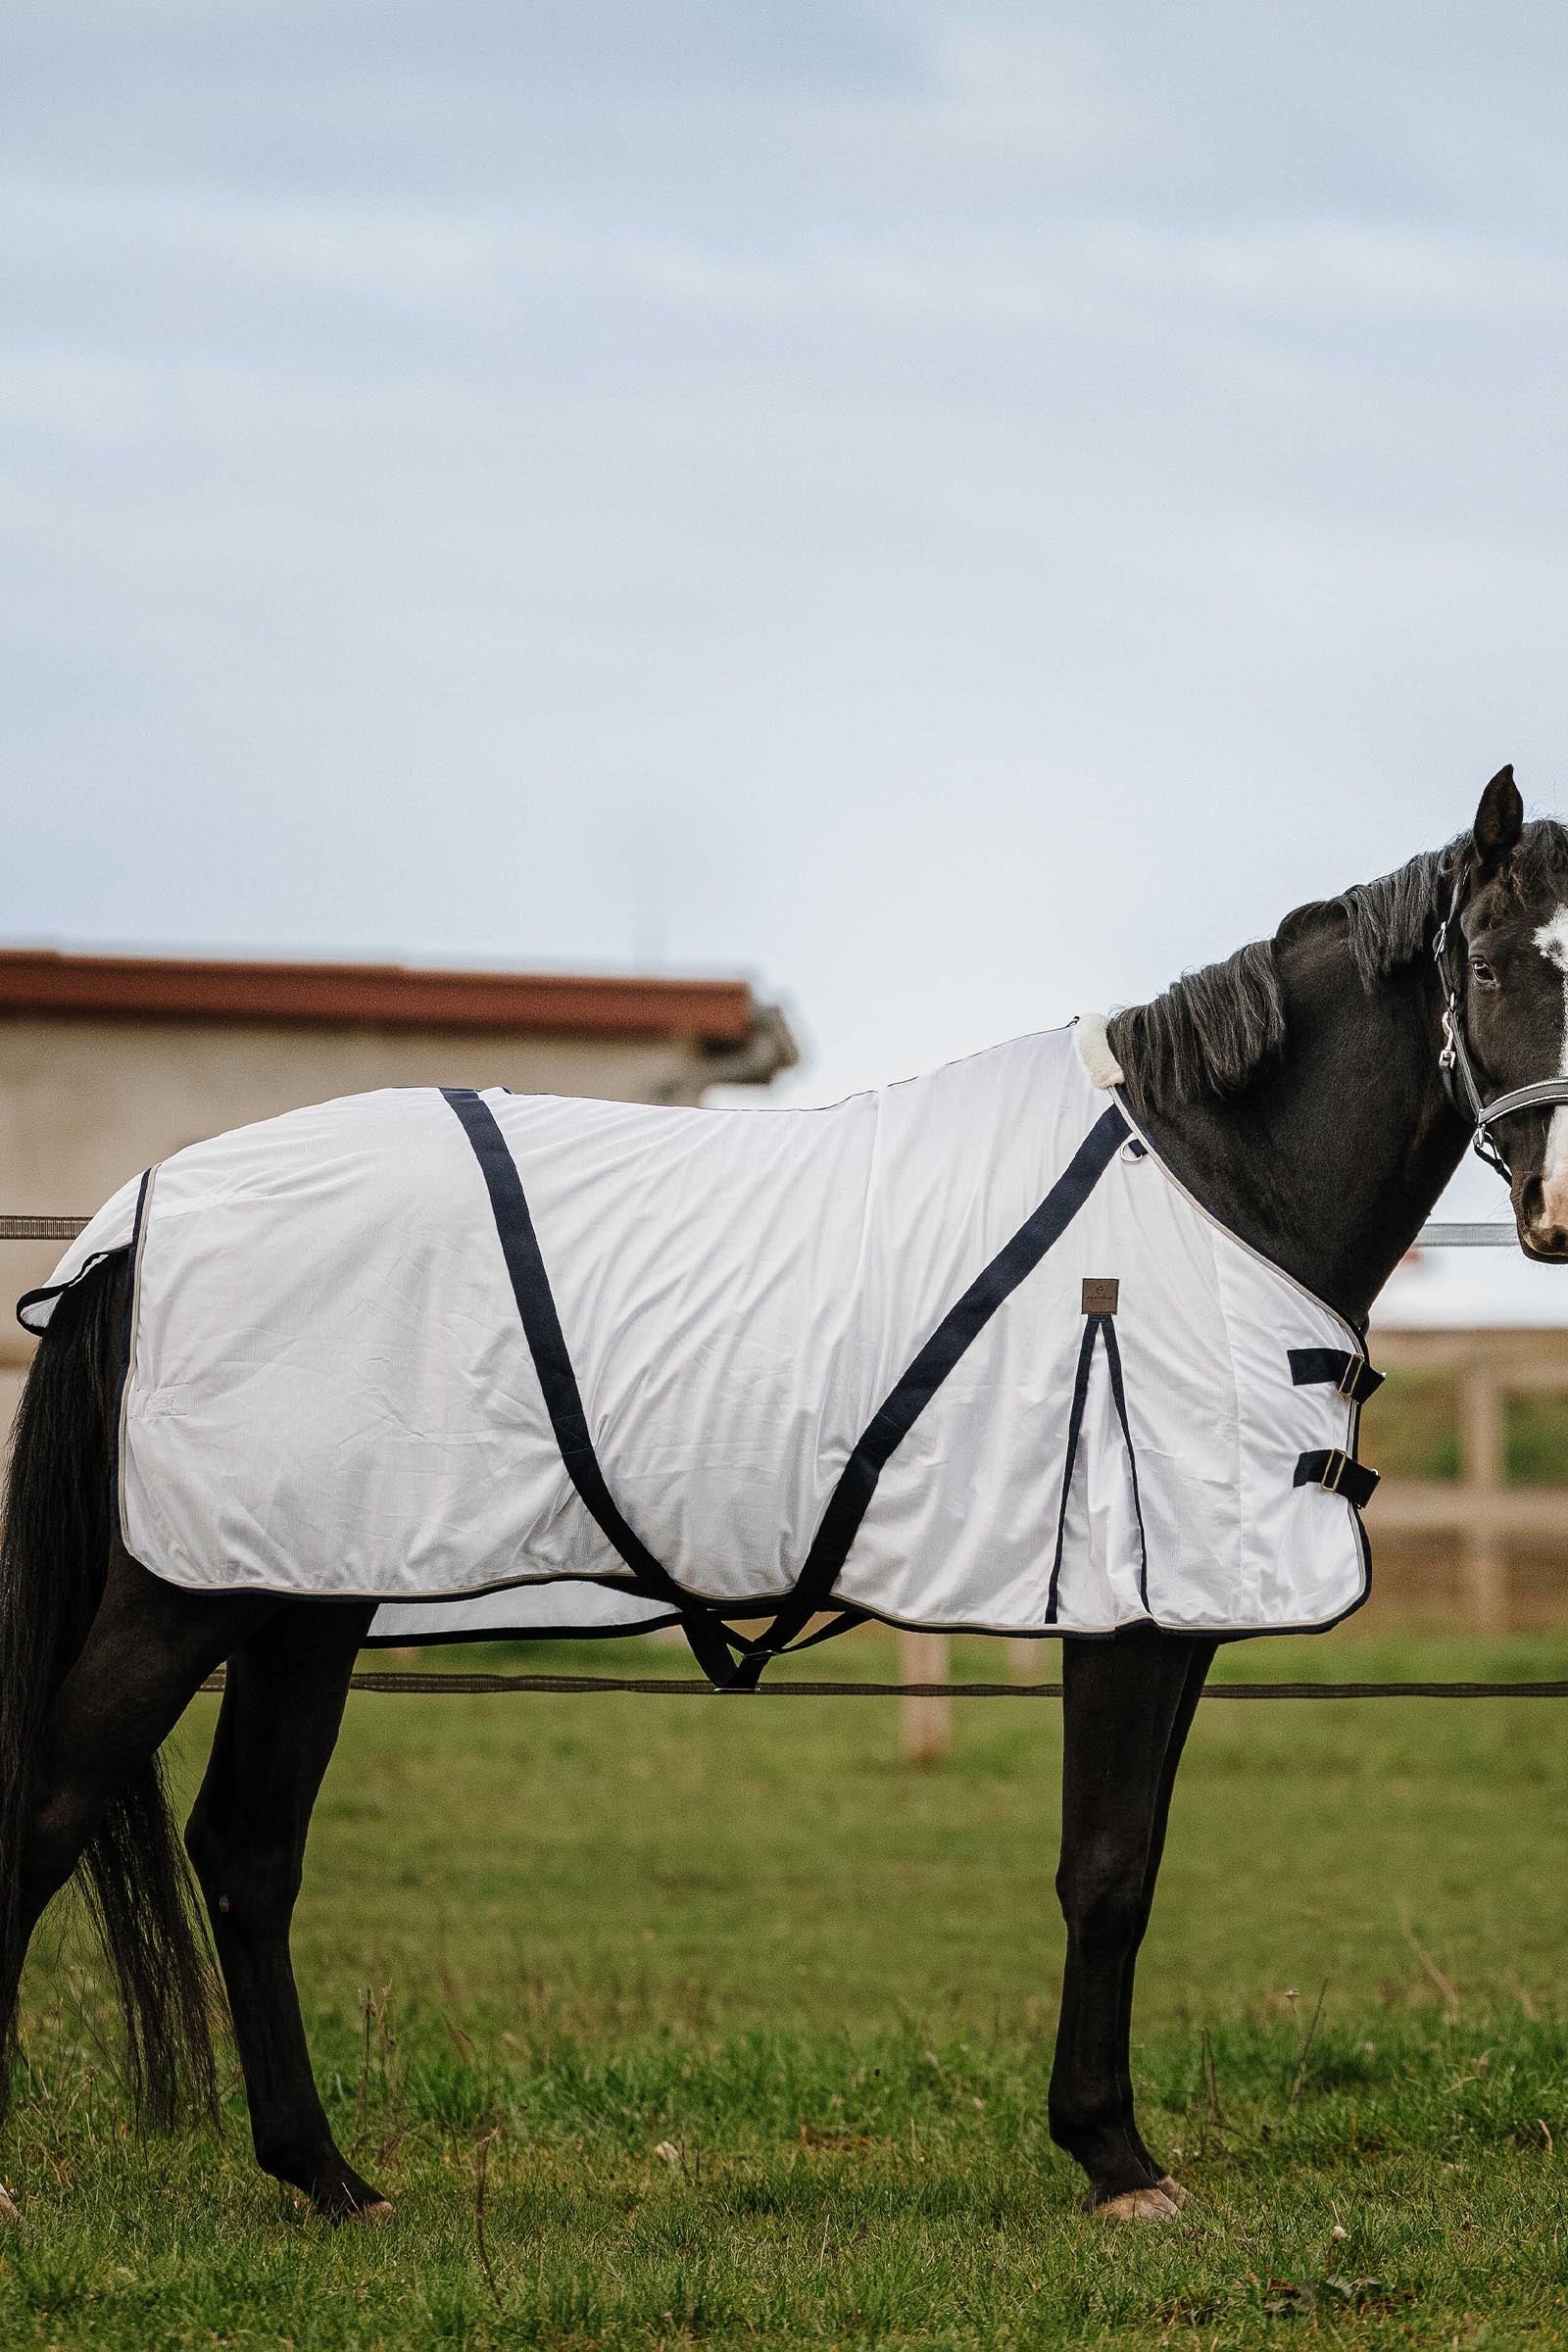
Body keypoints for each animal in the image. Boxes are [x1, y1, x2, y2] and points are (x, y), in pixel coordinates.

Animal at [0, 765, 1564, 2227]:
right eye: (1492, 966)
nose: (1553, 1217)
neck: (1207, 1185)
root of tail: (145, 1212)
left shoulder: (1175, 1607)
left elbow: (1133, 1867)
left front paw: (1108, 2145)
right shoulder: (1126, 1611)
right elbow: (1106, 1868)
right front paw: (1114, 2160)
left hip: (303, 1594)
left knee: (246, 1855)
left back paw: (327, 2177)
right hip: (186, 1592)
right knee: (55, 1811)